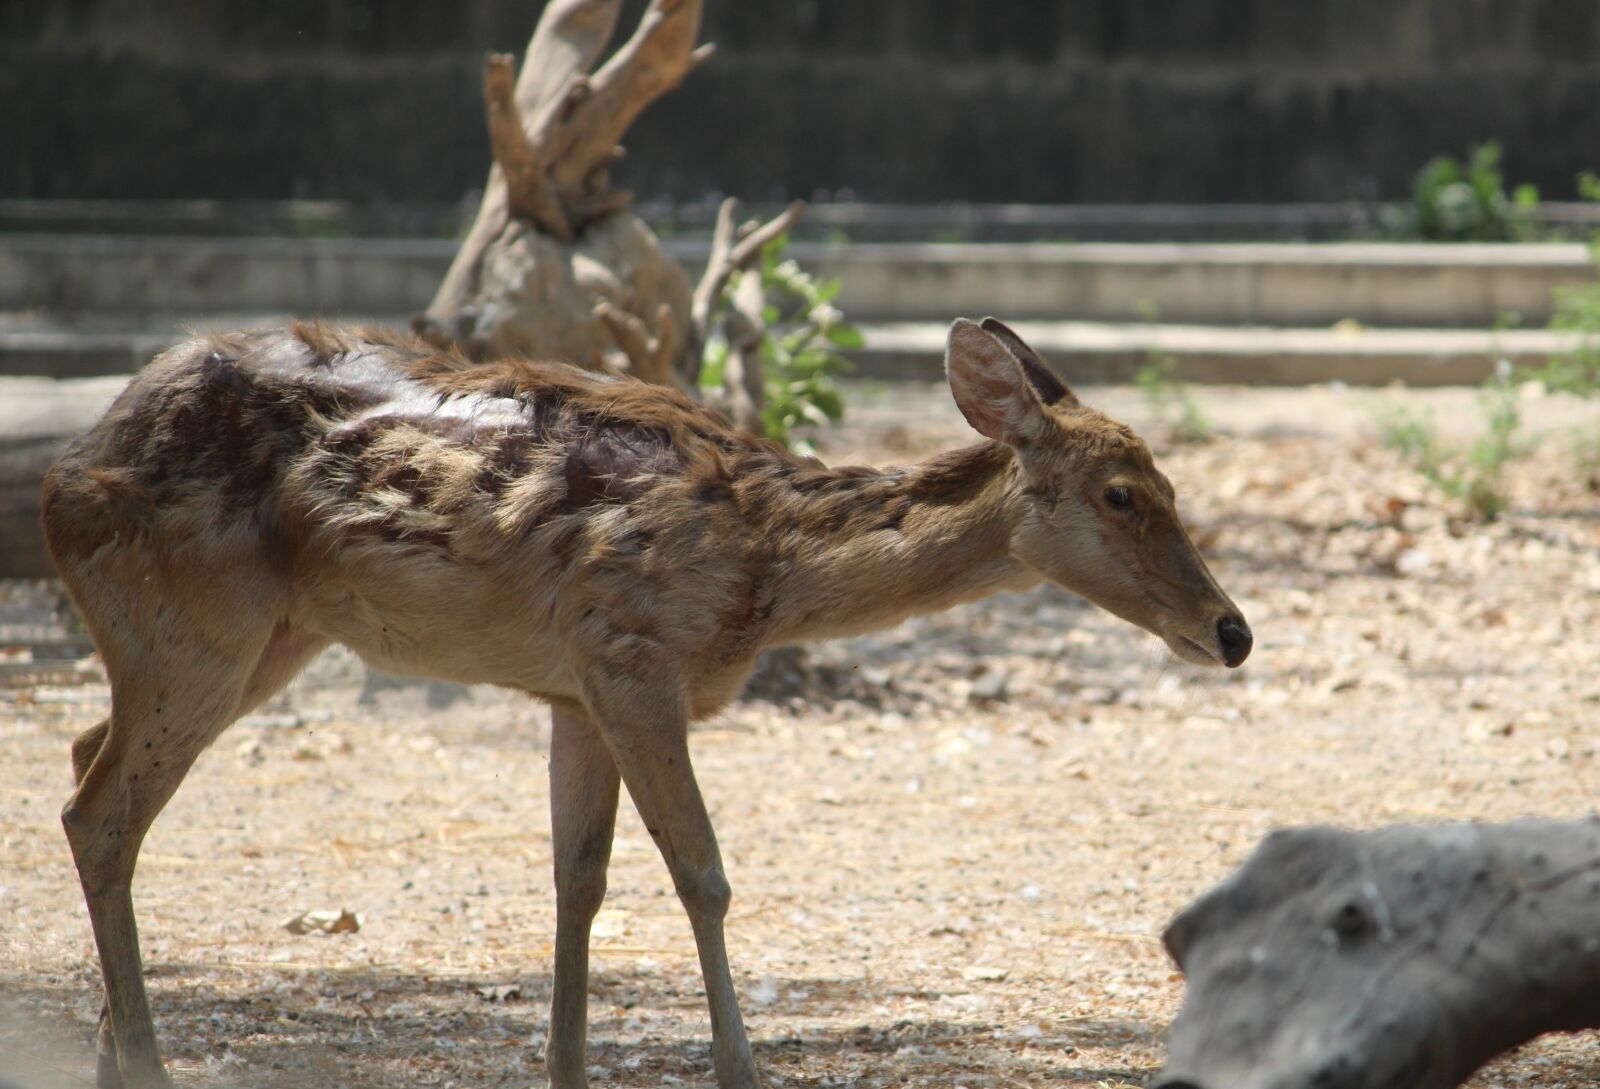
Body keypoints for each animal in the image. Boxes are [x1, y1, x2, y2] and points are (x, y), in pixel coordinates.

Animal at [42, 316, 1251, 1089]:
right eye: (1123, 494)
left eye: (1169, 485)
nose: (1233, 631)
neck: (765, 569)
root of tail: (63, 480)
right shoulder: (629, 654)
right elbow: (703, 874)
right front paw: (740, 1068)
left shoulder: (572, 688)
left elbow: (578, 880)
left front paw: (567, 1067)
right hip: (199, 619)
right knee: (98, 810)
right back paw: (145, 1062)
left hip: (262, 637)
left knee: (86, 752)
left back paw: (105, 1049)